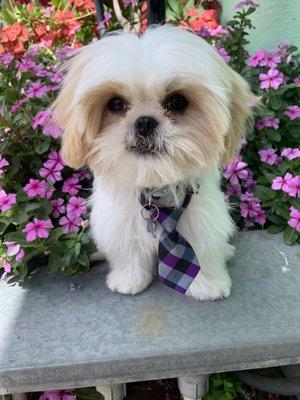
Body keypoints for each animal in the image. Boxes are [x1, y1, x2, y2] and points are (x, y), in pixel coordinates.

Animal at [52, 25, 252, 300]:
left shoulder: (203, 220)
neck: (155, 189)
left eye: (177, 102)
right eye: (116, 103)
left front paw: (208, 285)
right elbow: (129, 253)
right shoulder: (120, 223)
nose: (145, 122)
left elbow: (203, 250)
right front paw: (128, 279)